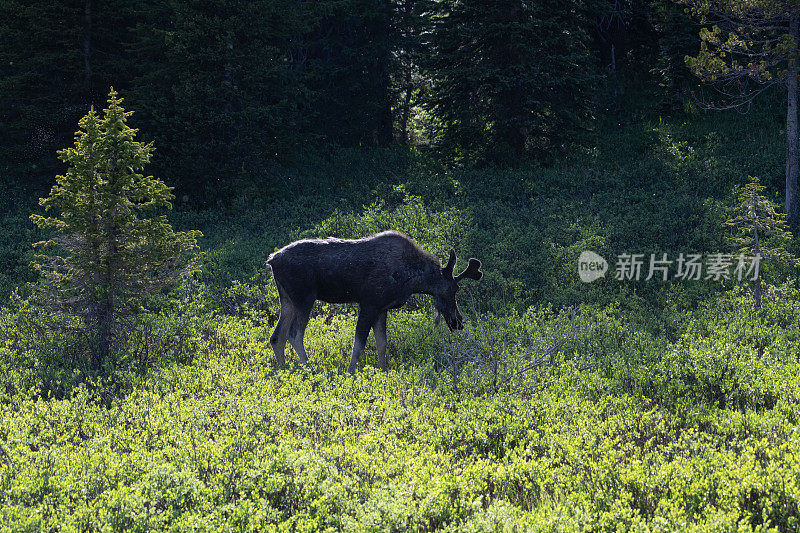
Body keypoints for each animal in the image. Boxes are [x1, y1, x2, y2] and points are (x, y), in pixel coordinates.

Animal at [268, 231, 482, 372]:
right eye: (453, 290)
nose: (458, 322)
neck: (411, 279)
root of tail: (271, 260)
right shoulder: (369, 303)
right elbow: (359, 344)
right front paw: (350, 372)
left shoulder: (382, 308)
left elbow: (382, 343)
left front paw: (383, 371)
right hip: (305, 297)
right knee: (295, 334)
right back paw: (310, 368)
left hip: (286, 300)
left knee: (277, 336)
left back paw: (283, 370)